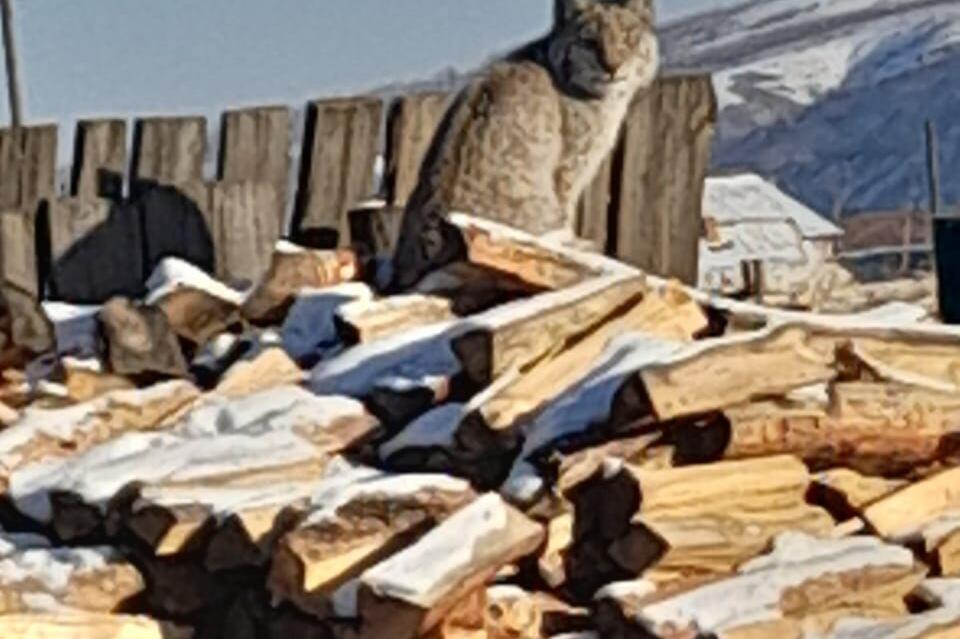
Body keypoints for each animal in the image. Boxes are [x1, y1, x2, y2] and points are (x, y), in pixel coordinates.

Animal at [390, 0, 660, 290]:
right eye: (589, 41)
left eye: (629, 37)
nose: (612, 67)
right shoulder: (569, 167)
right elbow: (567, 208)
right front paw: (573, 245)